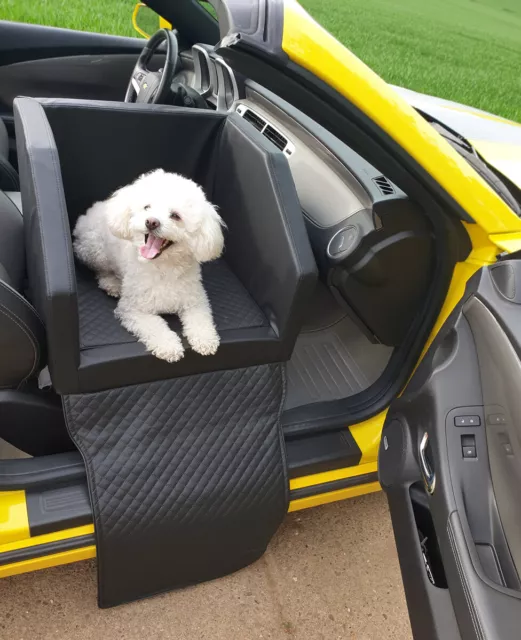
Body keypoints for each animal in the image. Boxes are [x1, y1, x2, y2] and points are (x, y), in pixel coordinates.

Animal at [73, 169, 223, 360]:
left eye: (175, 215)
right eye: (147, 207)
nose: (151, 222)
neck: (164, 267)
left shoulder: (195, 299)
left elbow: (201, 320)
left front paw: (205, 341)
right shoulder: (133, 309)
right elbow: (155, 327)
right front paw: (169, 346)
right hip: (95, 250)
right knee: (101, 270)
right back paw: (111, 283)